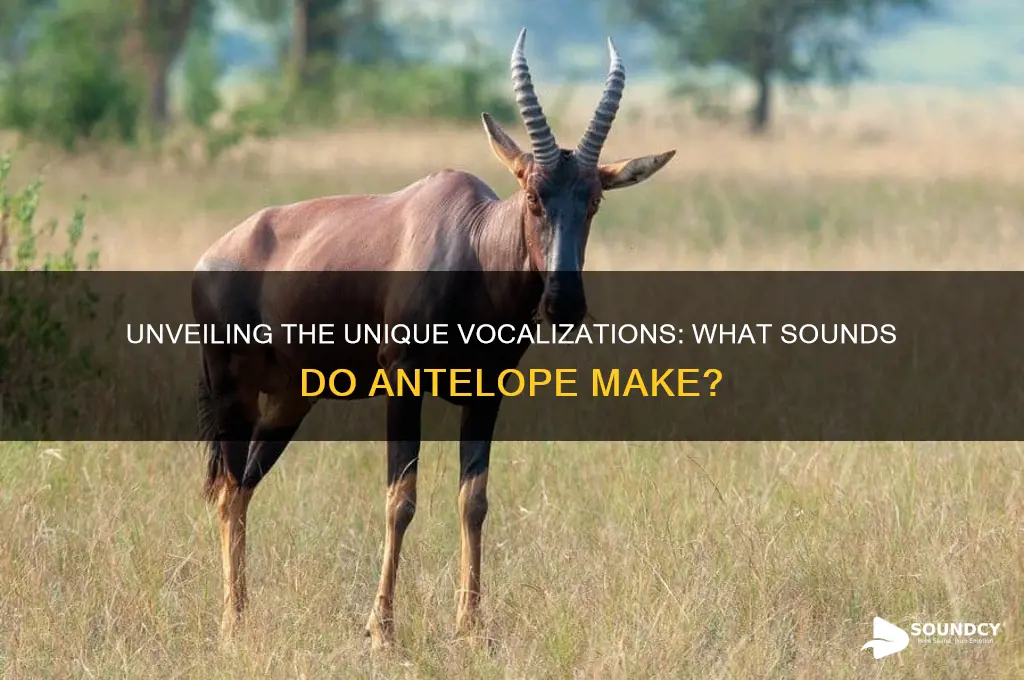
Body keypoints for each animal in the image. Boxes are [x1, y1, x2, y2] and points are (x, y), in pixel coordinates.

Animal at [192, 28, 675, 649]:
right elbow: (400, 500)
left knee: (246, 484)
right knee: (229, 489)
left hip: (288, 402)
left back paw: (246, 614)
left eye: (593, 199)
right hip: (232, 390)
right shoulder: (403, 385)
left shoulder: (487, 393)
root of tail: (215, 253)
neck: (471, 239)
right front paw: (380, 632)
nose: (565, 303)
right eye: (533, 194)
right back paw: (232, 623)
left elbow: (475, 499)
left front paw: (472, 626)